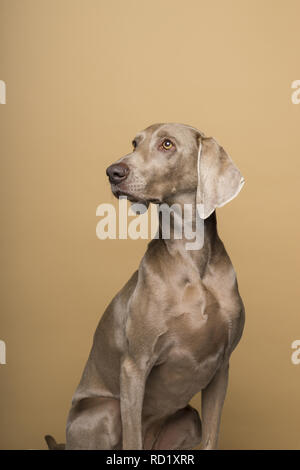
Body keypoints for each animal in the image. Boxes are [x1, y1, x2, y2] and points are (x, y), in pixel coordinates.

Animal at [62, 123, 245, 450]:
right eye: (135, 143)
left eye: (167, 144)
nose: (113, 172)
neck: (191, 253)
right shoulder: (134, 366)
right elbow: (132, 437)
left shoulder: (222, 368)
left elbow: (212, 436)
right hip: (106, 410)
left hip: (188, 418)